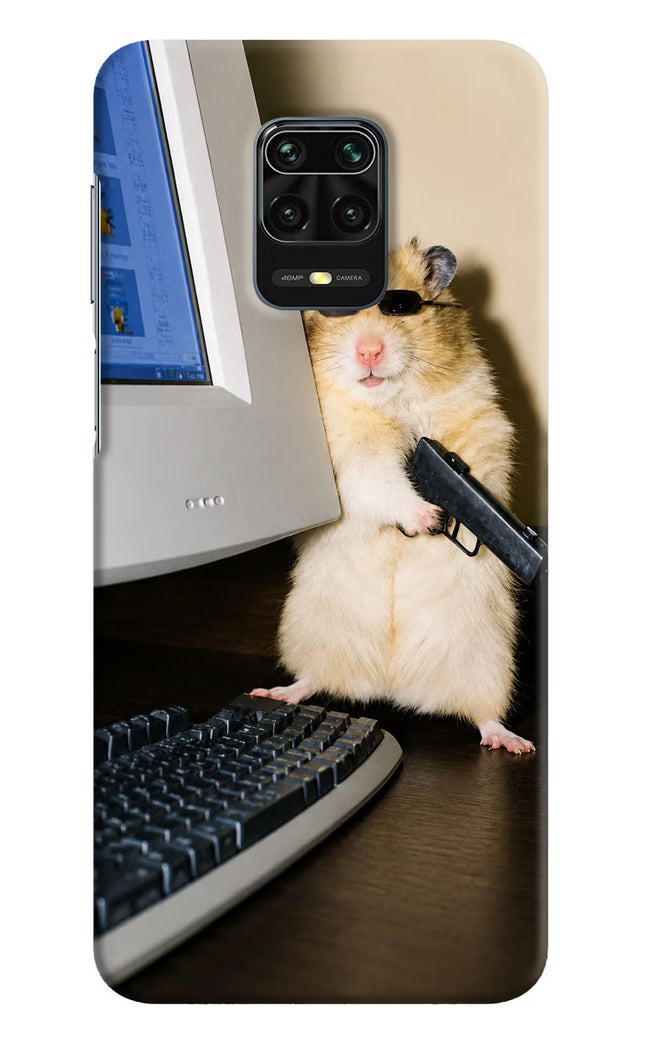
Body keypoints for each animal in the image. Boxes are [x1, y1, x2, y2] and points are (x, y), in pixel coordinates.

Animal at [252, 239, 534, 754]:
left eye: (400, 307)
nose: (369, 351)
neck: (391, 401)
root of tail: (393, 686)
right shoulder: (348, 457)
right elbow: (381, 481)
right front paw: (428, 518)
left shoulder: (482, 425)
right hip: (311, 632)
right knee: (312, 679)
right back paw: (276, 692)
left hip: (488, 661)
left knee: (484, 714)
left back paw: (512, 742)